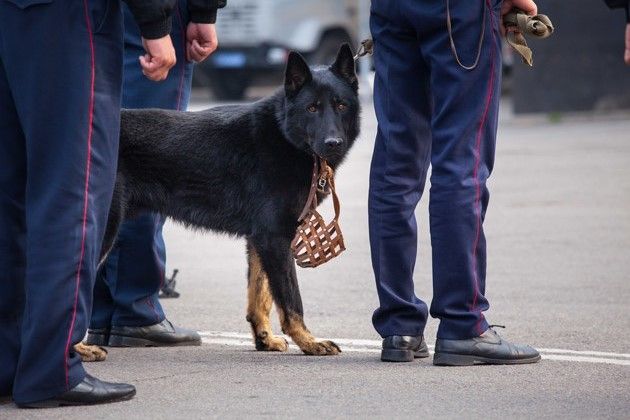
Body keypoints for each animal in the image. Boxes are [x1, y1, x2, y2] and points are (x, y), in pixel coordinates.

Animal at [102, 45, 362, 354]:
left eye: (341, 106)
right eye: (312, 108)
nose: (333, 144)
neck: (283, 135)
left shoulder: (260, 240)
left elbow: (260, 297)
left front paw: (265, 339)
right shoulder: (275, 239)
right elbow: (291, 300)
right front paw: (308, 341)